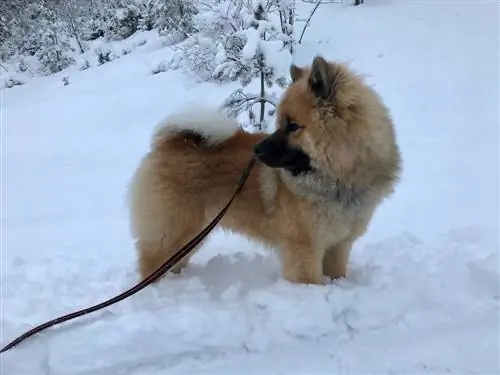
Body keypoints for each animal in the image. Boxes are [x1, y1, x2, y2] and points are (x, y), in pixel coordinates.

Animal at [129, 55, 402, 284]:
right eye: (280, 123)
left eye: (293, 126)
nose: (257, 150)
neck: (339, 178)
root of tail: (171, 143)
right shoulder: (304, 248)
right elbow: (311, 282)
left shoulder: (339, 245)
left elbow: (336, 274)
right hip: (174, 234)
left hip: (190, 238)